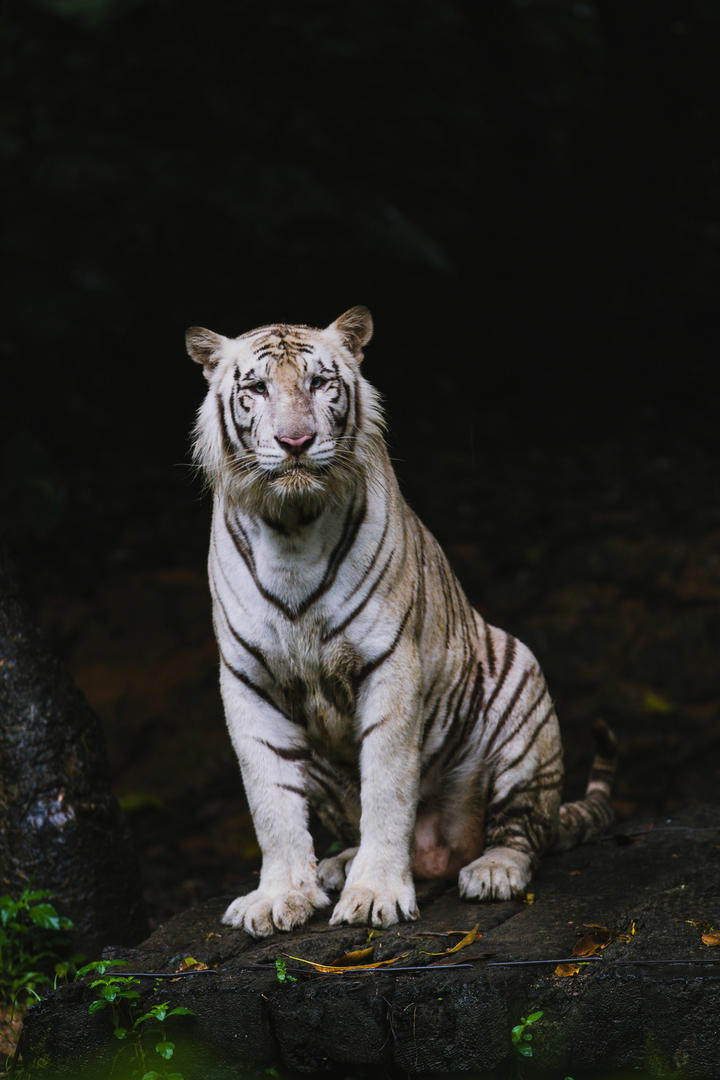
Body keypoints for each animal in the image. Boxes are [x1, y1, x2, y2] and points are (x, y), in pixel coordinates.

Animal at [188, 304, 617, 937]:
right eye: (257, 389)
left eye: (320, 383)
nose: (296, 441)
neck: (291, 527)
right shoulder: (248, 681)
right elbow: (270, 803)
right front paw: (279, 896)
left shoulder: (388, 665)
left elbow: (388, 789)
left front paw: (374, 895)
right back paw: (334, 867)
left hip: (522, 690)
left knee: (523, 830)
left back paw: (492, 870)